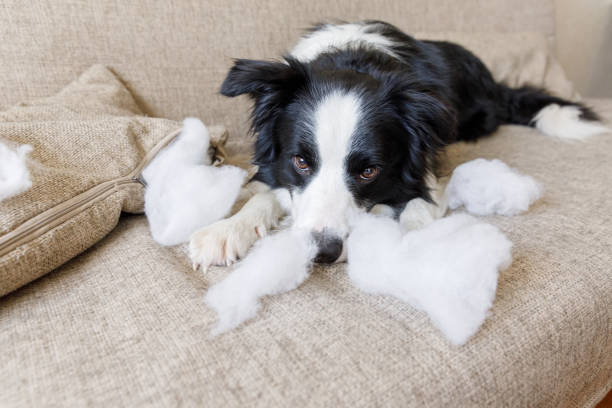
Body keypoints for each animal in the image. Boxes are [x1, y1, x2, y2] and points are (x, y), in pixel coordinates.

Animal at [189, 19, 604, 268]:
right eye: (301, 162)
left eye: (369, 171)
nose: (323, 254)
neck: (353, 62)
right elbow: (266, 195)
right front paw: (225, 231)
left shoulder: (426, 165)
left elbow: (419, 207)